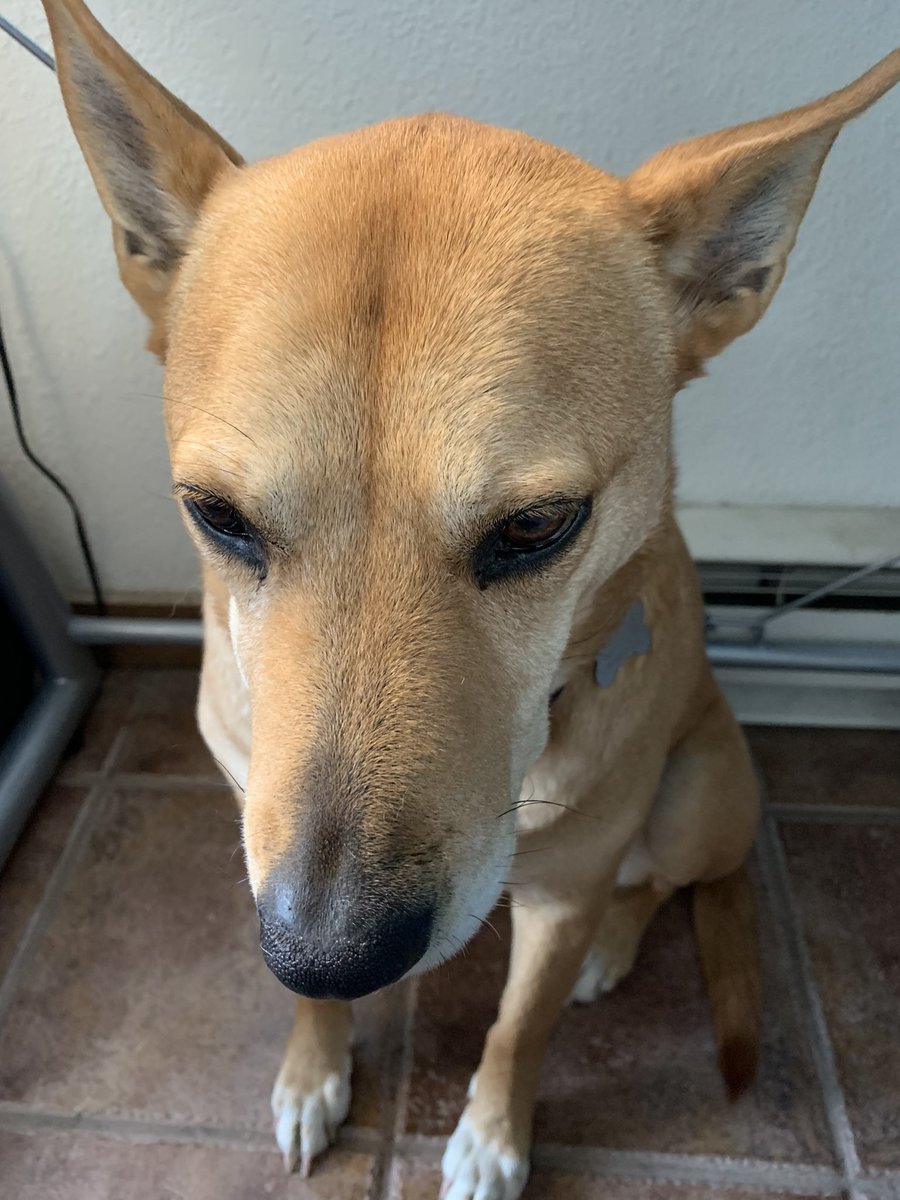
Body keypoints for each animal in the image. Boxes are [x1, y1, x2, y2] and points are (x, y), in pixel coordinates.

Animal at [38, 2, 897, 1190]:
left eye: (537, 527)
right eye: (217, 515)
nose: (328, 951)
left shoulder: (557, 897)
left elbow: (519, 1028)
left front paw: (492, 1134)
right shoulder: (261, 840)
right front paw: (314, 1069)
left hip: (695, 800)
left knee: (652, 885)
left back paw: (612, 948)